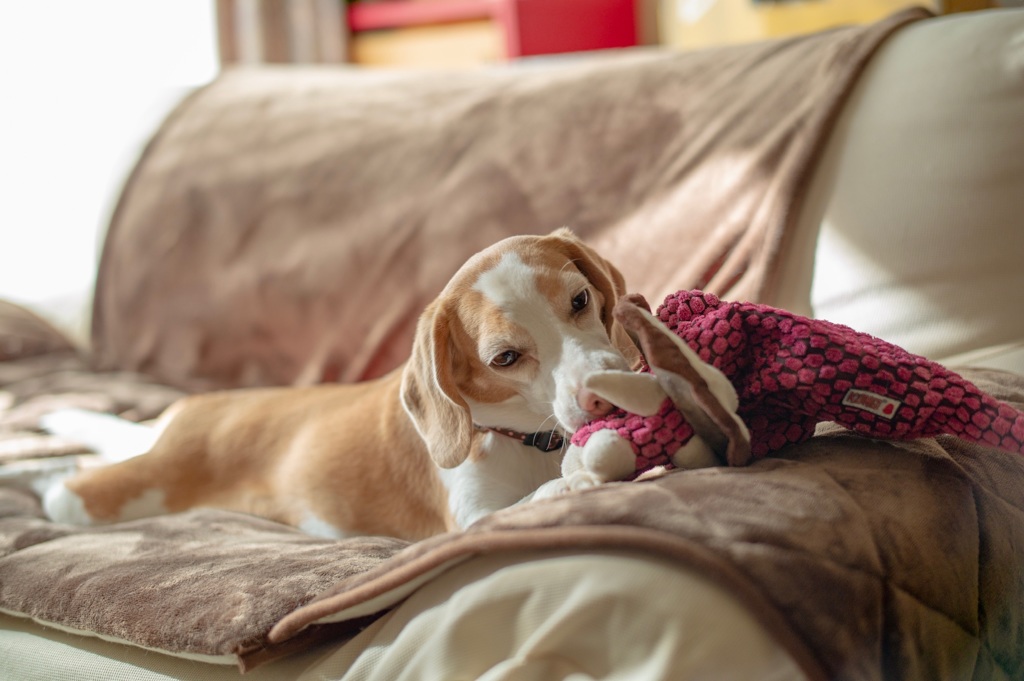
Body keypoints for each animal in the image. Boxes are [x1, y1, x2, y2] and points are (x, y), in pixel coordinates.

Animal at [44, 231, 634, 540]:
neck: (530, 441)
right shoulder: (470, 516)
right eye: (505, 357)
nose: (605, 391)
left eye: (580, 300)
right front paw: (573, 484)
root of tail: (186, 412)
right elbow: (531, 500)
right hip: (116, 493)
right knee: (65, 490)